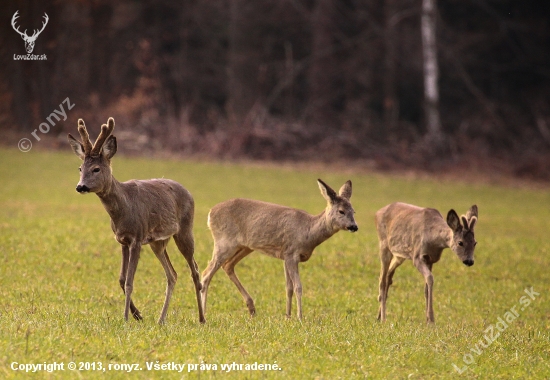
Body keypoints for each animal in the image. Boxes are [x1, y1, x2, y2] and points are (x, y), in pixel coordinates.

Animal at [68, 118, 206, 324]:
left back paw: (202, 318)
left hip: (185, 230)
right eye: (80, 168)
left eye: (96, 169)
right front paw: (137, 315)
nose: (80, 186)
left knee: (195, 270)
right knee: (172, 274)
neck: (124, 208)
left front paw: (125, 318)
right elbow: (121, 279)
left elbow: (130, 282)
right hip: (158, 242)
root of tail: (189, 193)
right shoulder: (122, 240)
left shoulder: (137, 238)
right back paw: (161, 319)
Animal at [201, 180, 360, 320]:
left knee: (227, 266)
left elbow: (288, 288)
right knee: (206, 274)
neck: (308, 231)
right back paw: (203, 315)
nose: (354, 226)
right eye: (341, 211)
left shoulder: (285, 256)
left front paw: (288, 316)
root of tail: (209, 214)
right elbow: (298, 287)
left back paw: (251, 309)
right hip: (224, 243)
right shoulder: (291, 254)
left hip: (244, 246)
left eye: (353, 211)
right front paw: (300, 317)